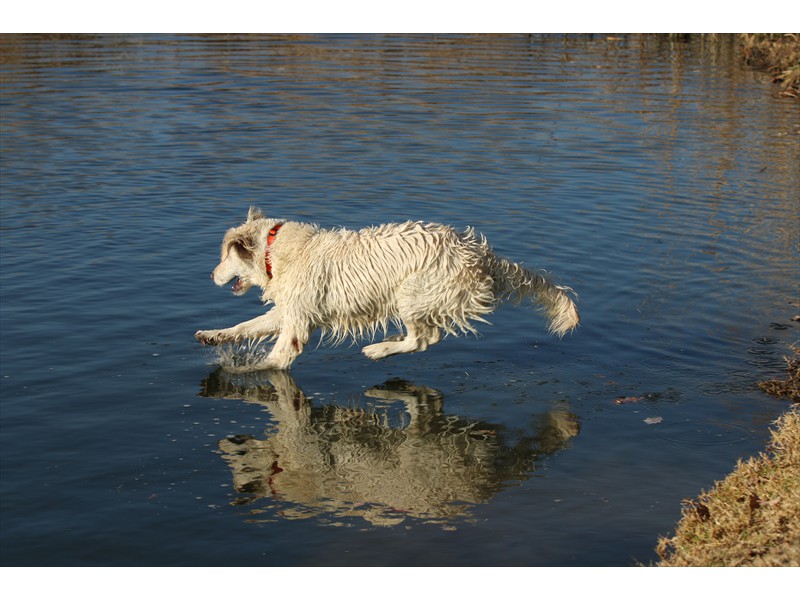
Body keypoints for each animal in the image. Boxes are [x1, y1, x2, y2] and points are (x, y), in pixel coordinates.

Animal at [196, 206, 580, 368]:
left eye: (224, 255)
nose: (210, 275)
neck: (276, 250)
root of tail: (480, 253)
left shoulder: (297, 322)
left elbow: (276, 360)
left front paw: (246, 372)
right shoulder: (290, 311)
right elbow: (245, 326)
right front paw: (213, 335)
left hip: (411, 292)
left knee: (424, 339)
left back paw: (378, 350)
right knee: (425, 337)